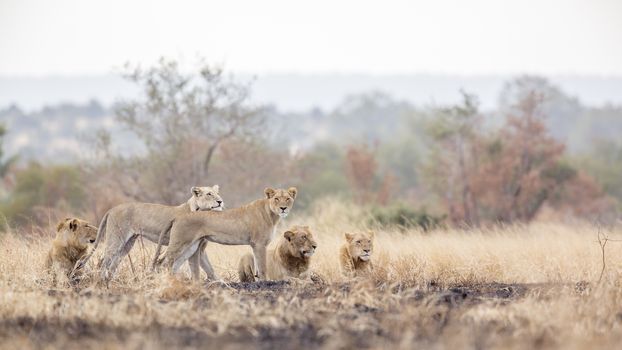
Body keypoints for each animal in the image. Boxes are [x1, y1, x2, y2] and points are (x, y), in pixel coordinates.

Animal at [76, 186, 225, 282]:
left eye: (217, 193)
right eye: (209, 194)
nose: (220, 201)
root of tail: (112, 209)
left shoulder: (201, 247)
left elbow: (208, 267)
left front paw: (220, 283)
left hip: (128, 243)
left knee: (114, 261)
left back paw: (110, 281)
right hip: (116, 238)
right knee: (104, 259)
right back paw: (101, 281)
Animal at [160, 186, 298, 282]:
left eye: (287, 199)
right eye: (276, 199)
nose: (283, 208)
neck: (272, 215)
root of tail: (178, 216)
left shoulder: (255, 245)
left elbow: (258, 267)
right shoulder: (259, 244)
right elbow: (262, 266)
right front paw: (265, 282)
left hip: (191, 246)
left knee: (174, 263)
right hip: (180, 243)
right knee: (164, 261)